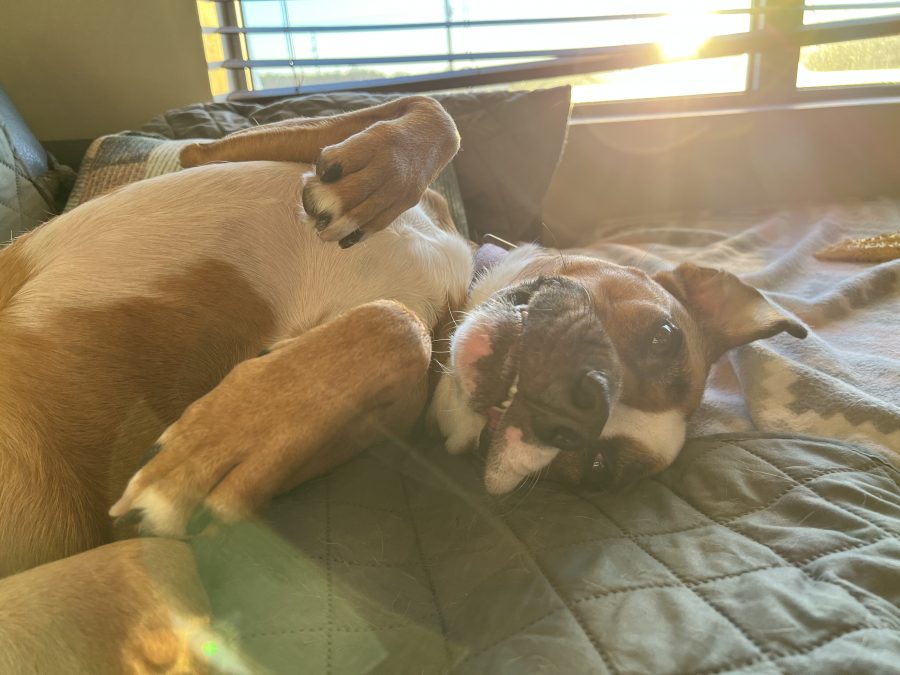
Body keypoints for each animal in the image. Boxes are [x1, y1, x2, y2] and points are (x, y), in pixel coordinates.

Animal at [0, 96, 800, 672]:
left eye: (596, 469)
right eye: (664, 336)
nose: (579, 416)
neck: (457, 288)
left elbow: (394, 328)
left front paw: (217, 448)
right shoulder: (206, 152)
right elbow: (431, 111)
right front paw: (382, 166)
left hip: (142, 568)